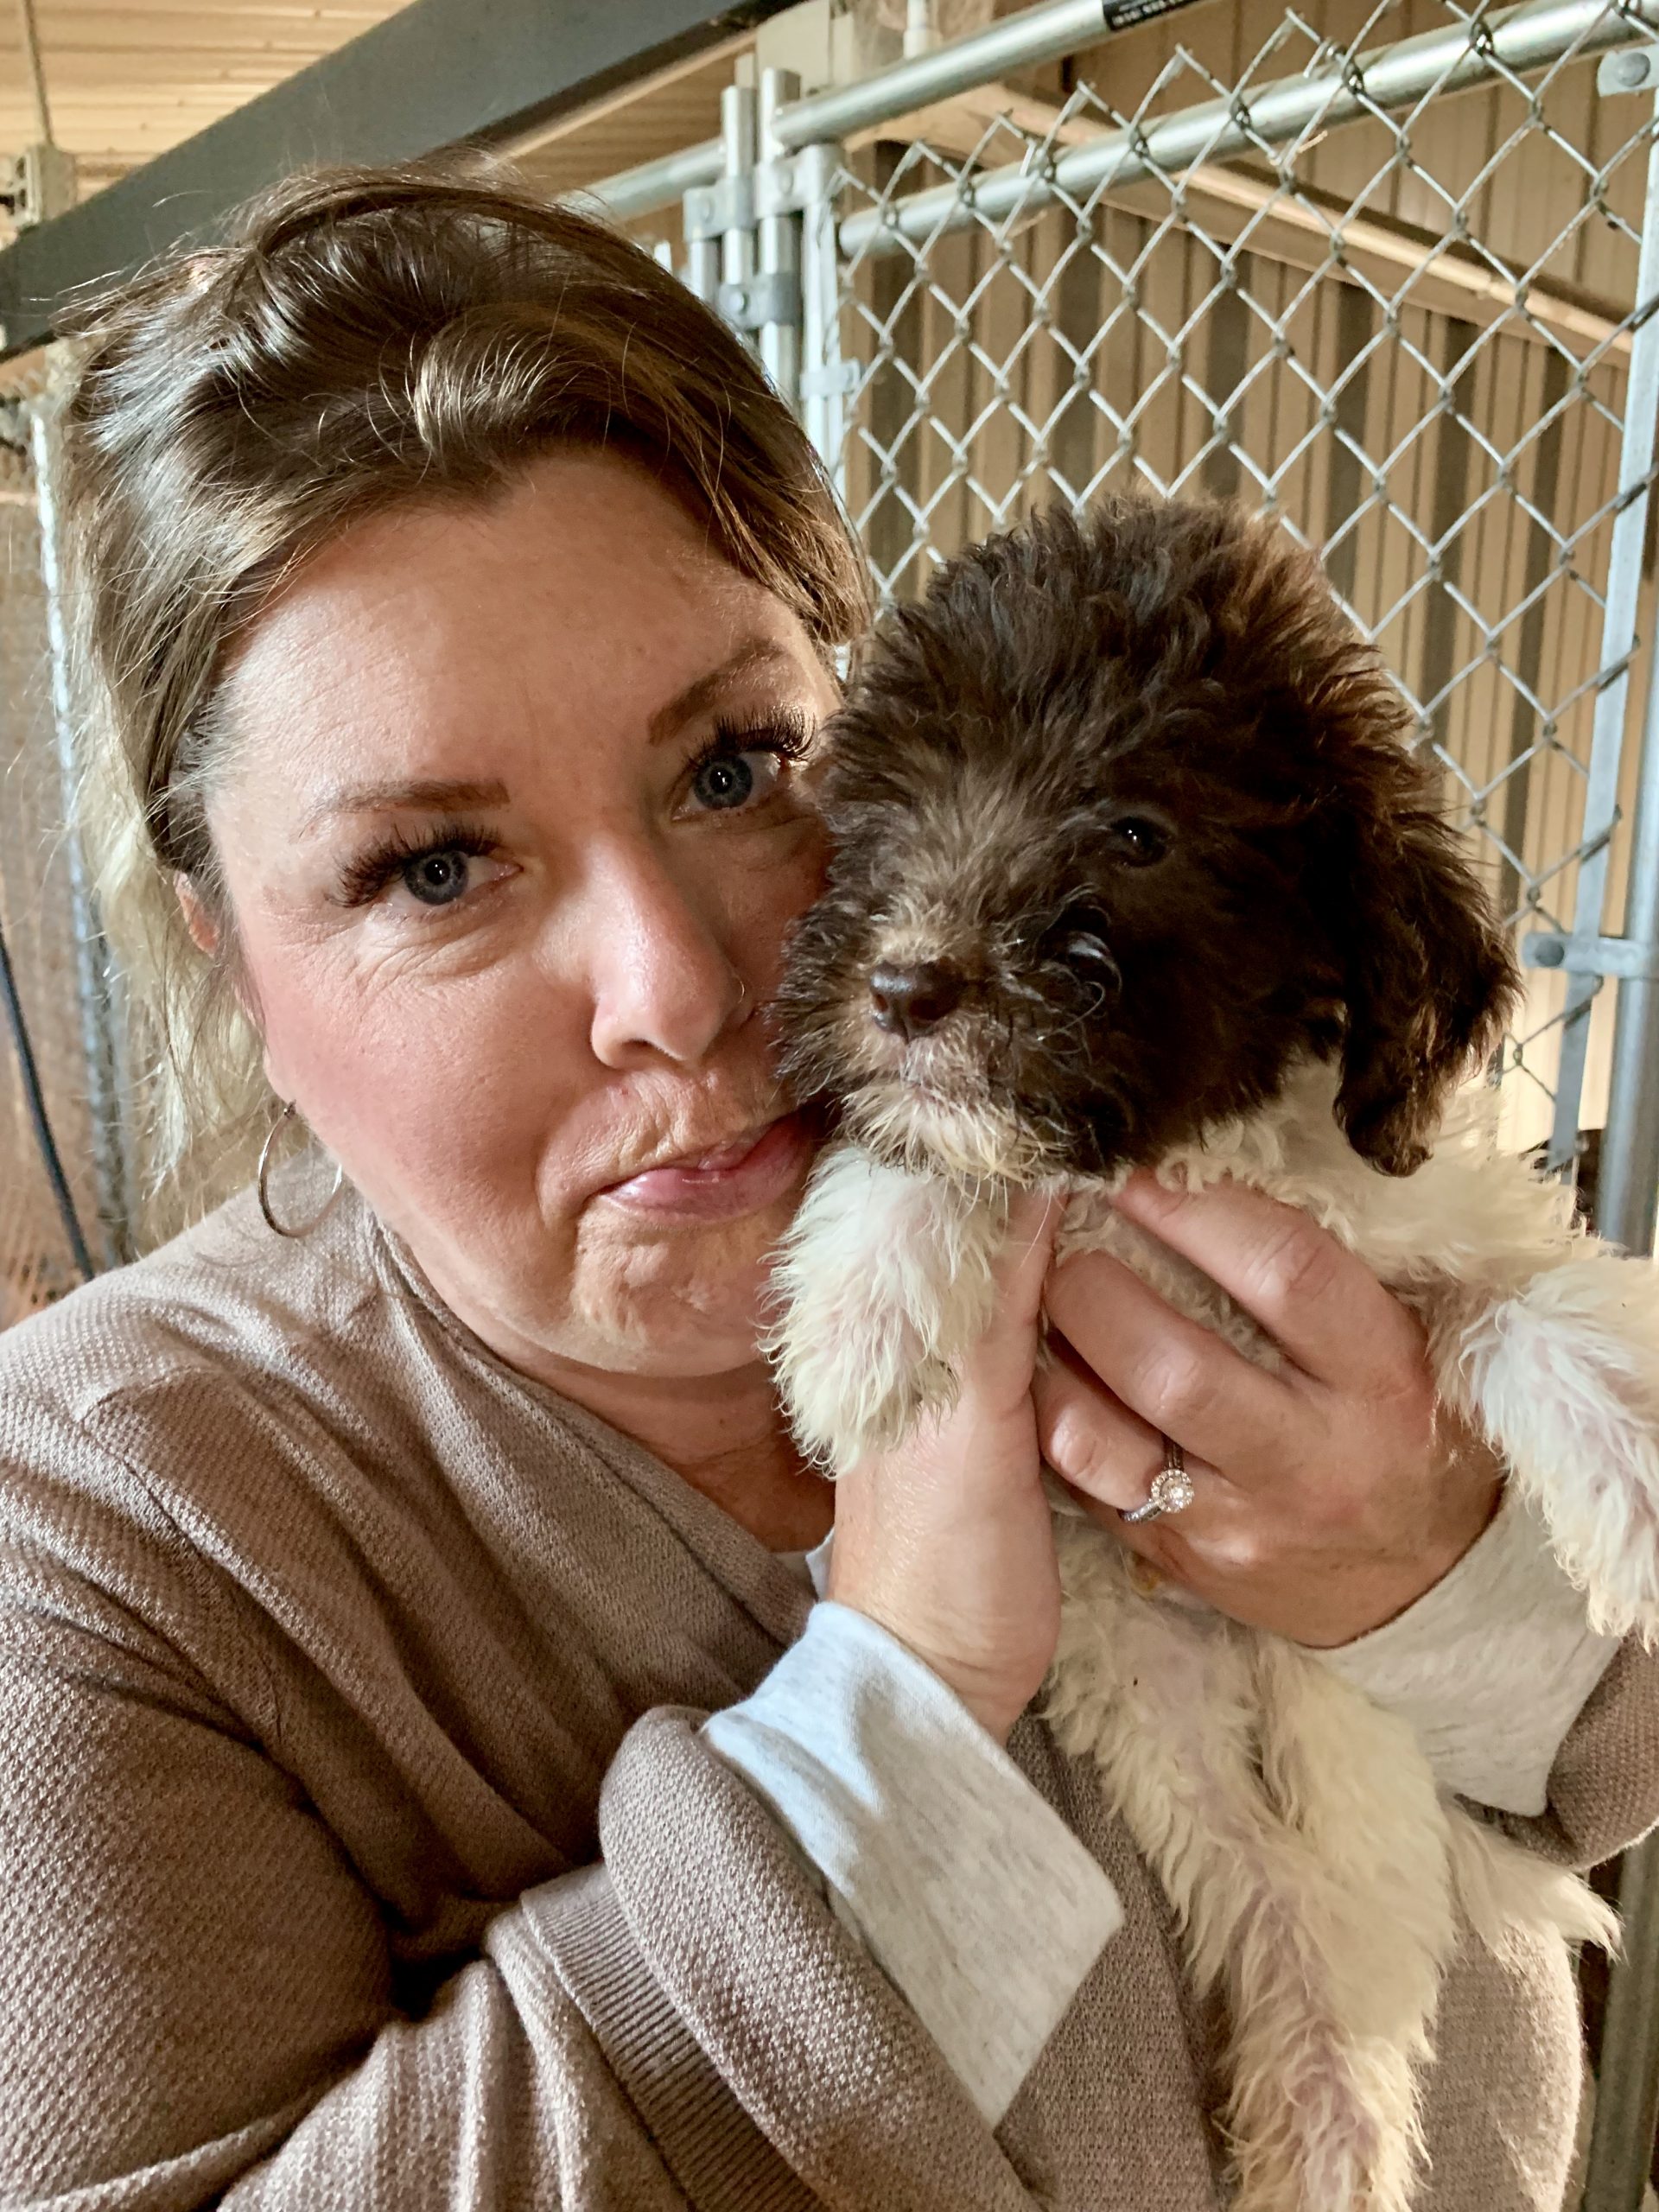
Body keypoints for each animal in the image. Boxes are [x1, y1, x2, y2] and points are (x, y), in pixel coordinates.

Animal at [774, 502, 1654, 2212]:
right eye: (890, 807)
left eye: (1135, 832)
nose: (902, 987)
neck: (1187, 1147)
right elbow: (932, 1147)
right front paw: (860, 1313)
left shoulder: (1423, 1226)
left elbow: (1530, 1307)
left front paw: (1638, 1485)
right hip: (1167, 1741)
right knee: (1269, 1916)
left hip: (1347, 1766)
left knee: (1346, 1970)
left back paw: (1327, 2149)